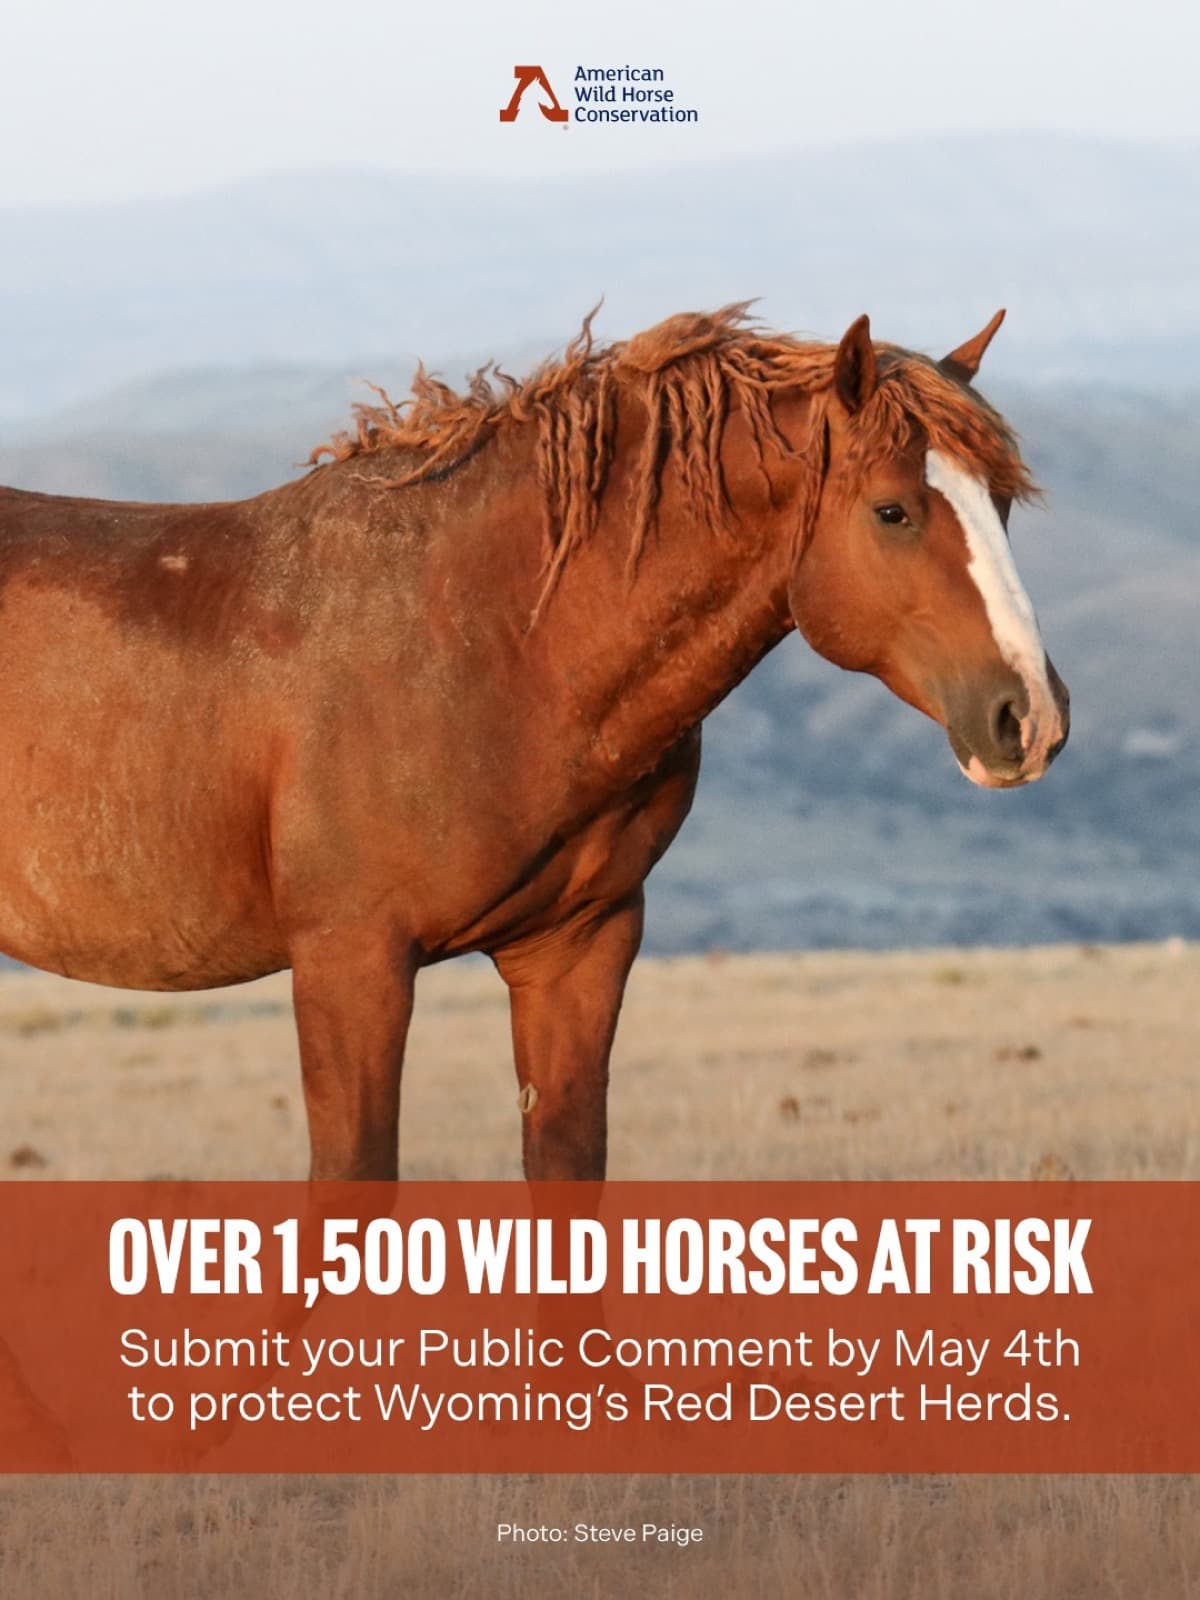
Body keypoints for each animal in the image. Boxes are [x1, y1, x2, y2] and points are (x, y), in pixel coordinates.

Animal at [0, 305, 1069, 1181]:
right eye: (893, 510)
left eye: (1003, 505)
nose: (1031, 718)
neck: (487, 641)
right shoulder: (352, 965)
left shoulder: (577, 952)